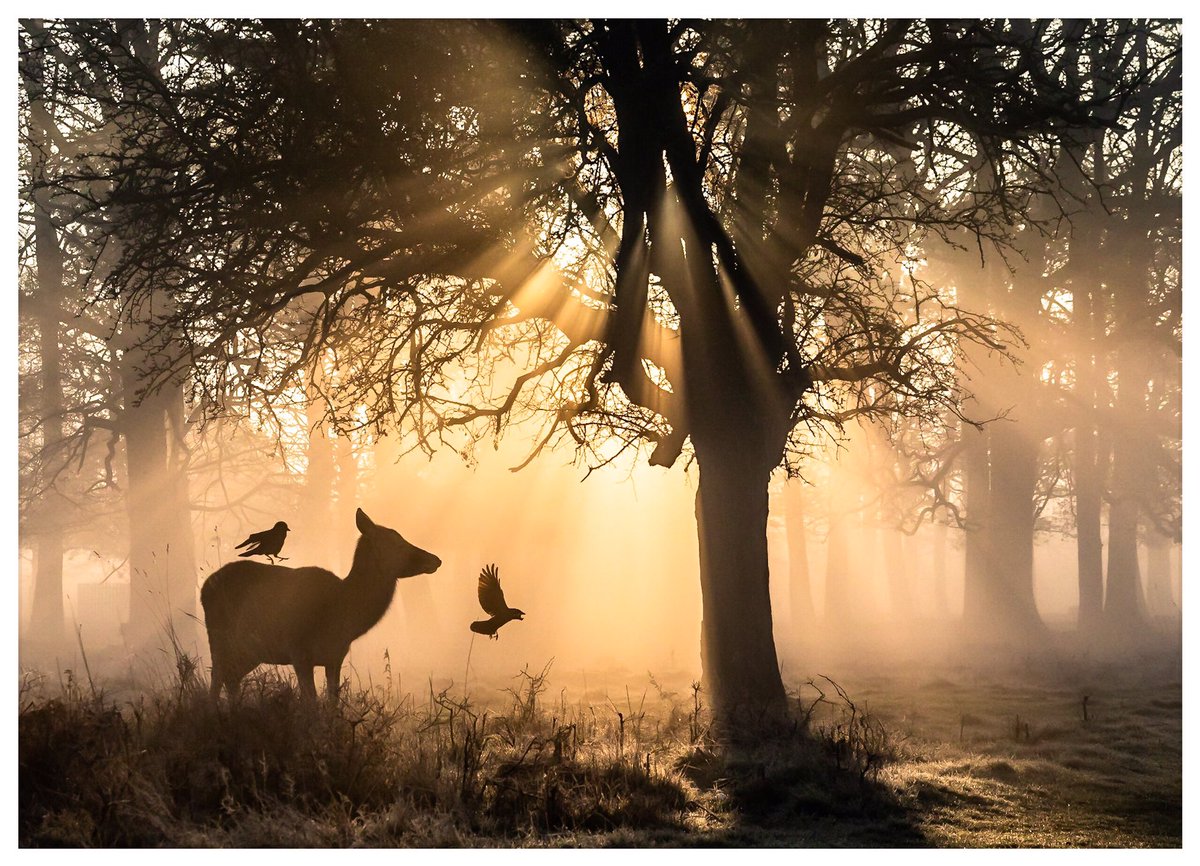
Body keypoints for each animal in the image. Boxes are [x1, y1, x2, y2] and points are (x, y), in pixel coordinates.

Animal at [201, 506, 441, 700]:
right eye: (397, 543)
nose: (436, 559)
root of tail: (205, 587)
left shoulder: (336, 656)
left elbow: (333, 703)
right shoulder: (299, 650)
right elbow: (312, 704)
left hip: (251, 651)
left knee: (231, 678)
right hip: (219, 637)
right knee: (217, 676)